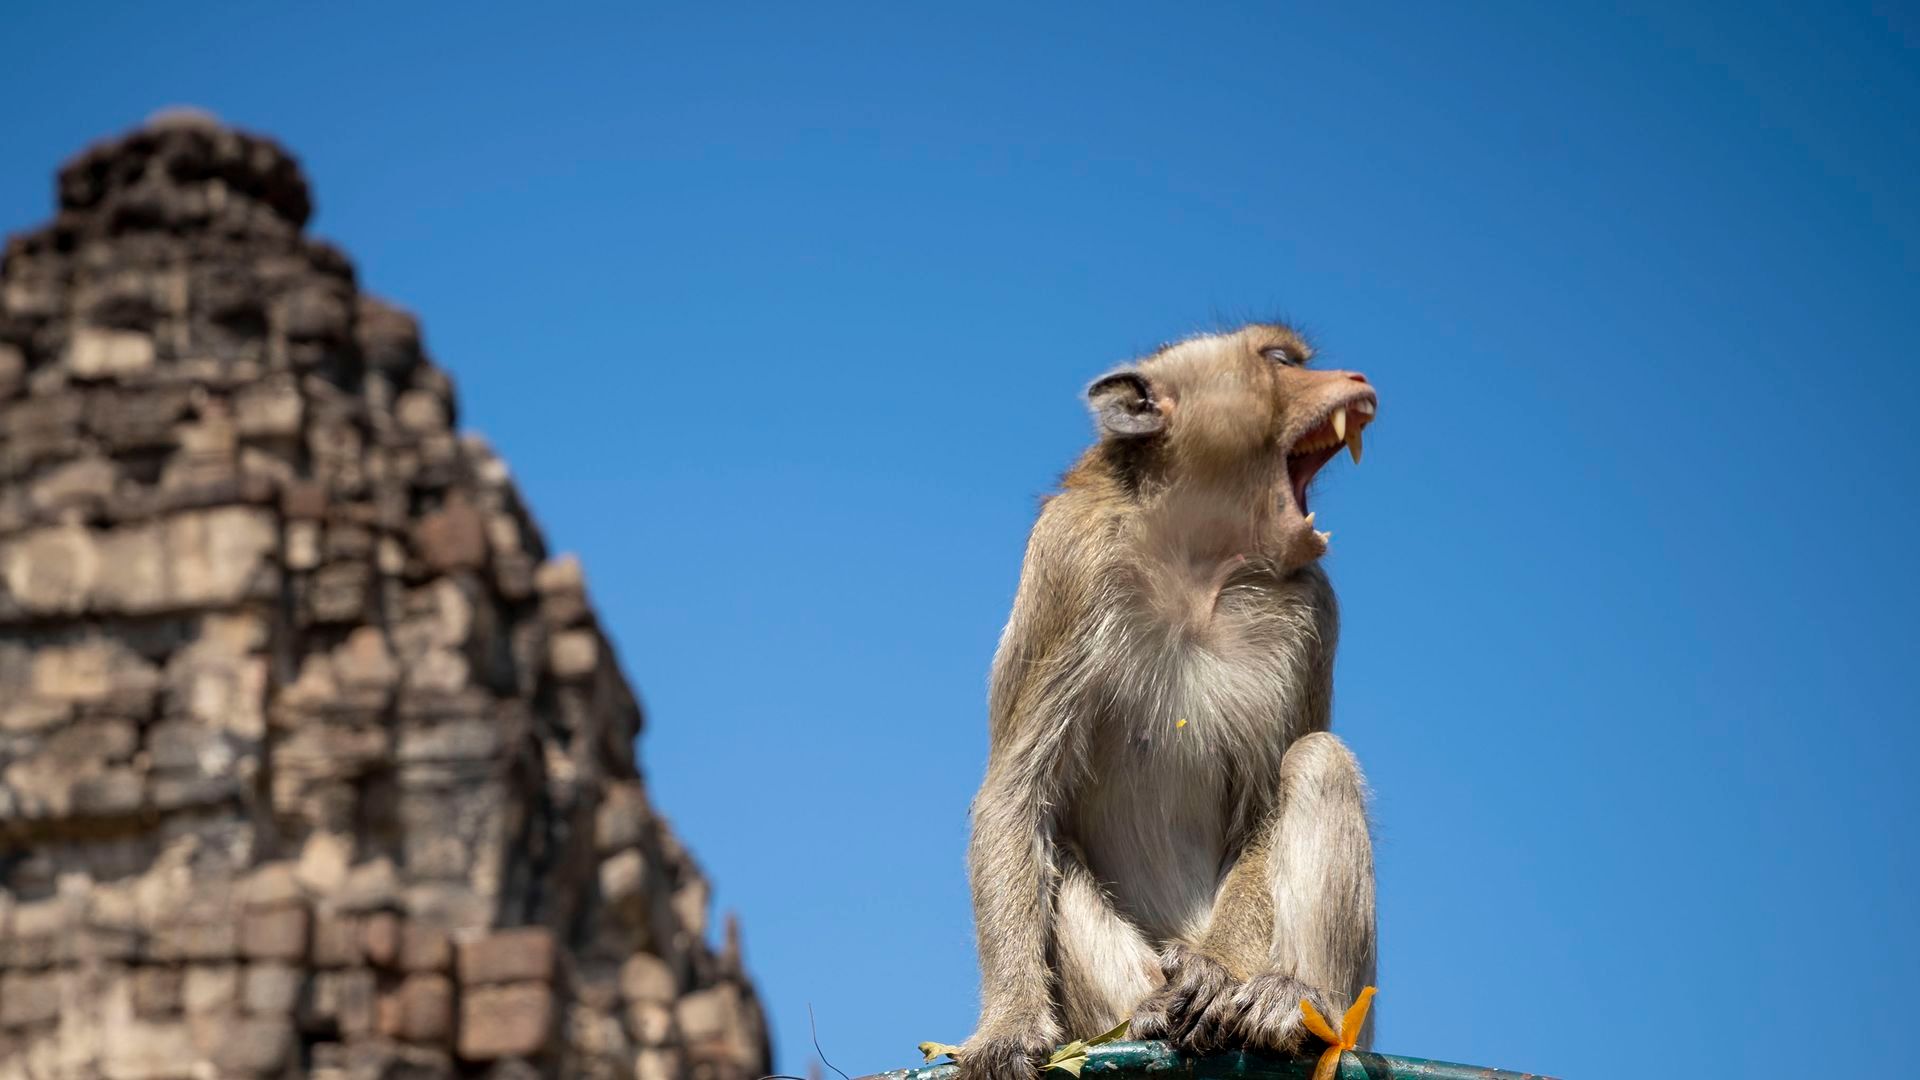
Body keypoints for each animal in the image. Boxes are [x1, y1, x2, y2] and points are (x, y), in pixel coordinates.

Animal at [960, 323, 1379, 1080]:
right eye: (1280, 362)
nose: (1357, 379)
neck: (1196, 562)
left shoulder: (1312, 607)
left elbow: (1267, 803)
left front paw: (1216, 973)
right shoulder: (1069, 562)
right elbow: (1016, 792)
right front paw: (1008, 1025)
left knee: (1318, 758)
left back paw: (1299, 1008)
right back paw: (1148, 1014)